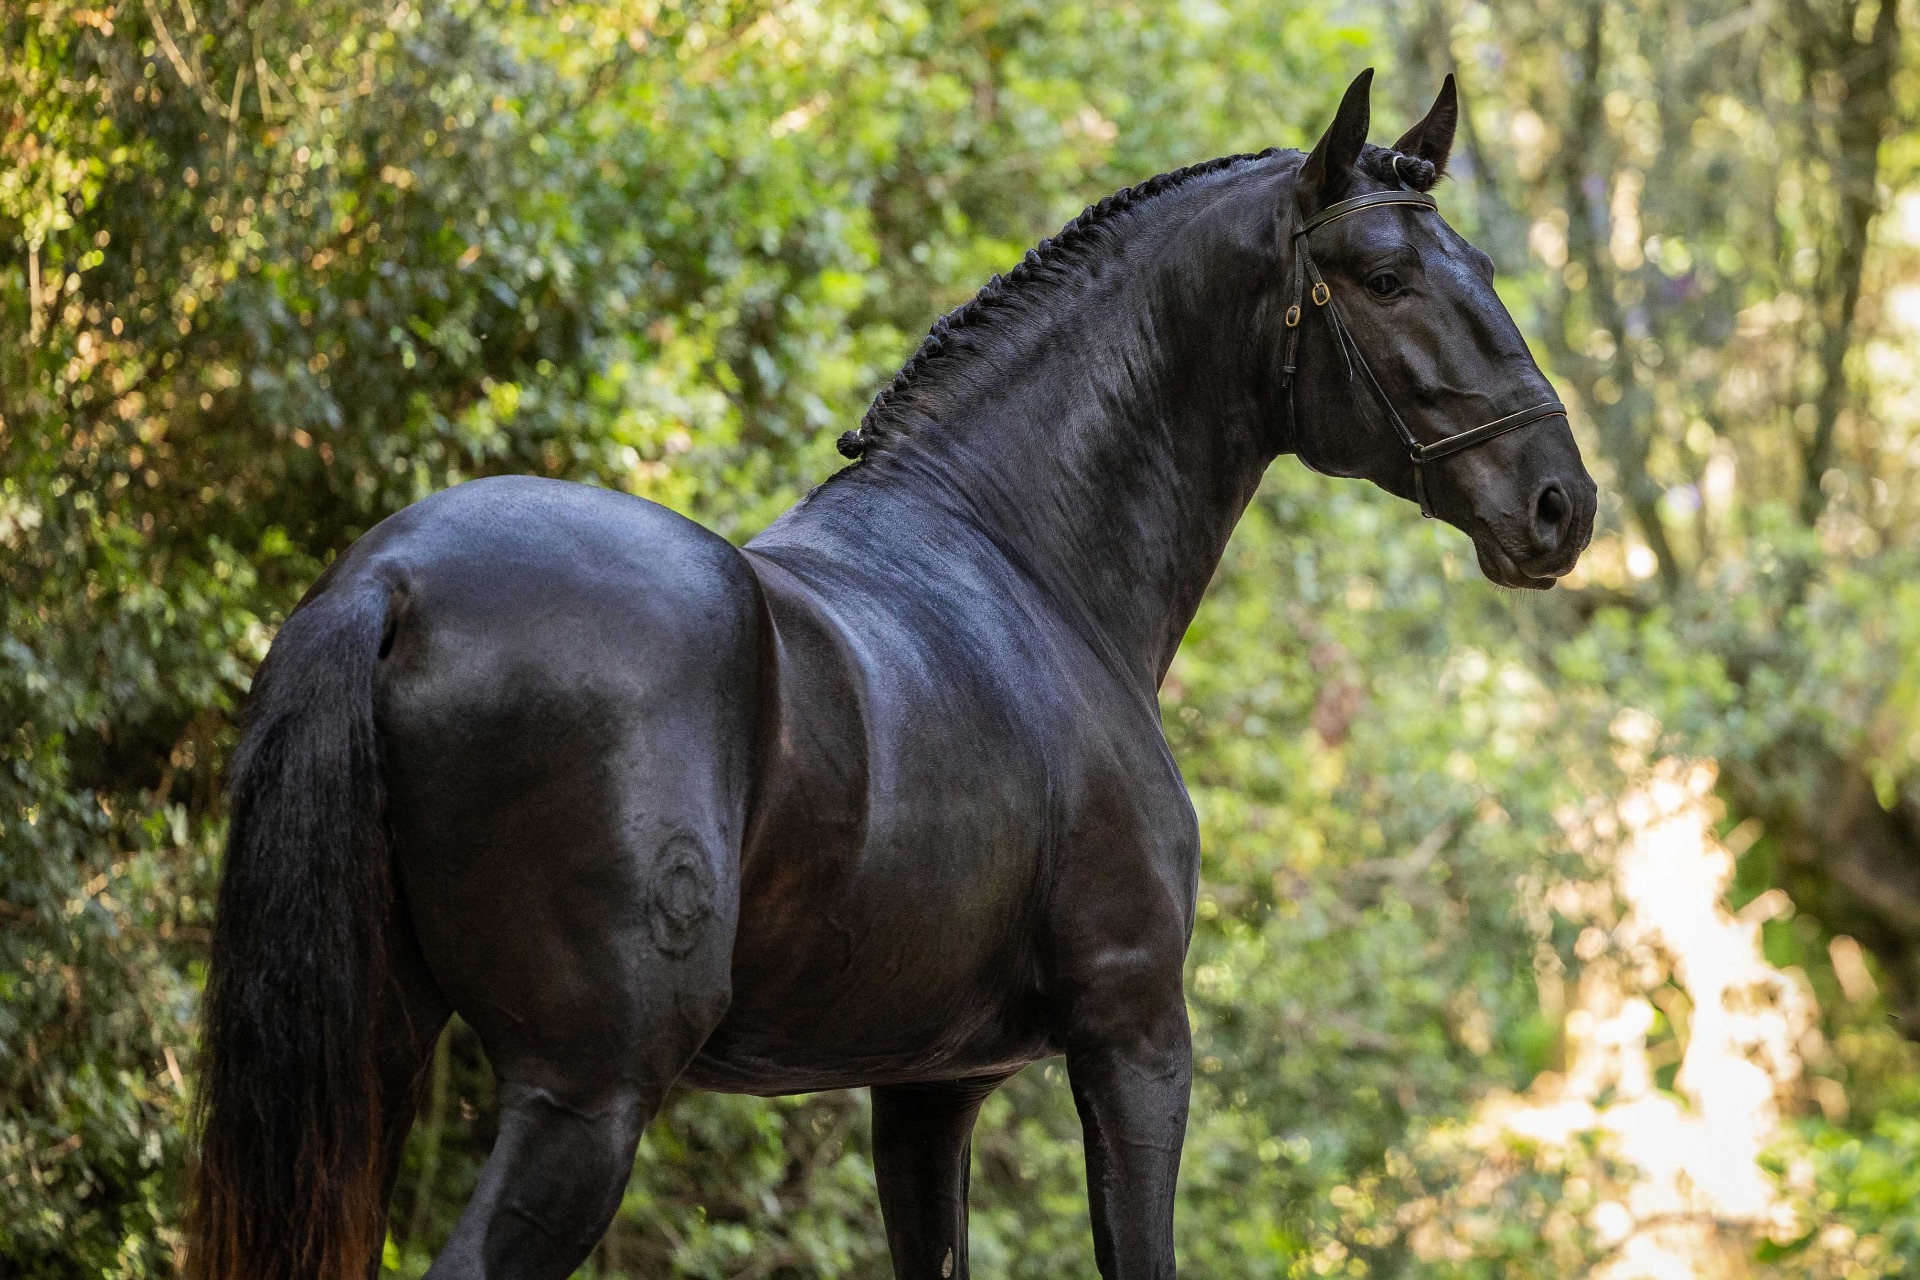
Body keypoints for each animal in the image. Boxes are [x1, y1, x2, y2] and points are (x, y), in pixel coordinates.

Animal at [189, 69, 1595, 1280]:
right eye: (1388, 276)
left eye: (1478, 268)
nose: (1559, 505)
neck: (1024, 558)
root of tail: (391, 583)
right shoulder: (1136, 1033)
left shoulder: (927, 1087)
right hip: (584, 1094)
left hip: (378, 1066)